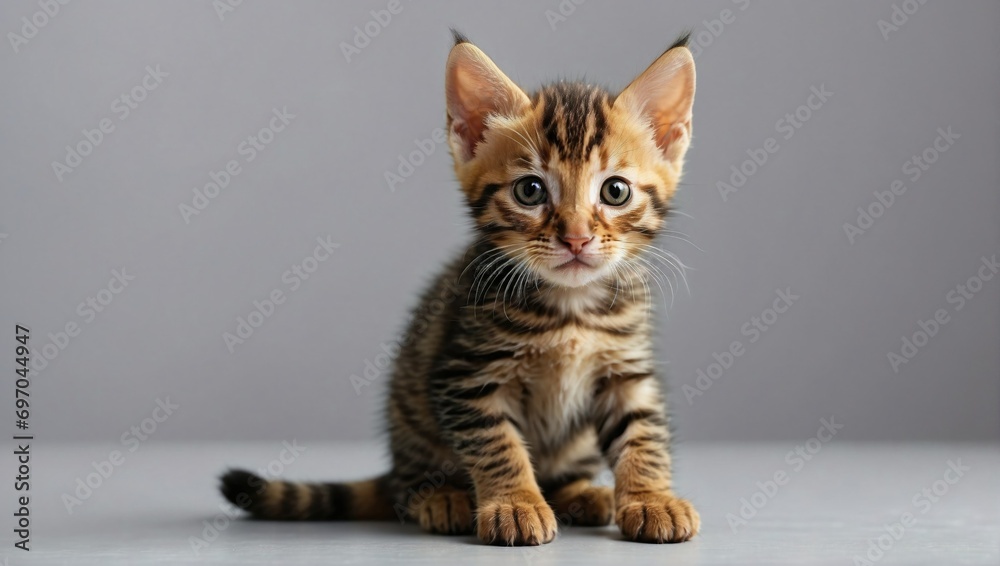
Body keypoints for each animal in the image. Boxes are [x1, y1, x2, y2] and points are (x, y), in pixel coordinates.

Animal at [222, 30, 700, 544]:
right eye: (530, 191)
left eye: (615, 191)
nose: (575, 237)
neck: (570, 307)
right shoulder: (468, 374)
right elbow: (498, 443)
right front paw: (514, 504)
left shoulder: (626, 371)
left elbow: (643, 436)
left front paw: (651, 499)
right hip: (411, 410)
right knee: (408, 488)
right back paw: (443, 498)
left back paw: (582, 494)